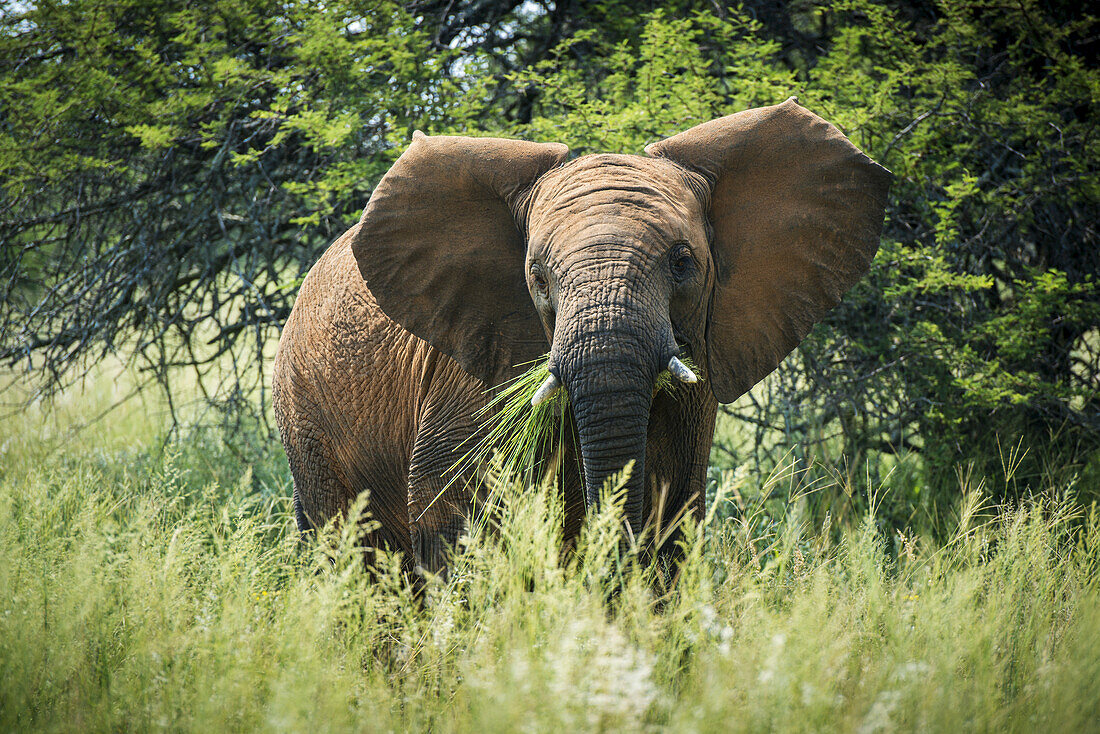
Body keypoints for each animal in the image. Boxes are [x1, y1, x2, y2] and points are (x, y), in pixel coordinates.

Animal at [272, 97, 893, 576]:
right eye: (538, 278)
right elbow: (455, 507)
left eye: (683, 262)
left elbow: (673, 514)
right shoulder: (468, 367)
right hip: (306, 419)